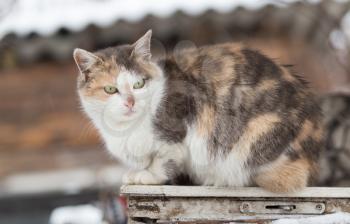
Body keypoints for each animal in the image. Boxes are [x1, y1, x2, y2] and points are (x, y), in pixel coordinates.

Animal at [74, 29, 326, 192]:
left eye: (138, 84)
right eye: (110, 89)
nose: (130, 102)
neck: (127, 129)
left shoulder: (175, 135)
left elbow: (162, 161)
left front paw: (146, 175)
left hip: (254, 138)